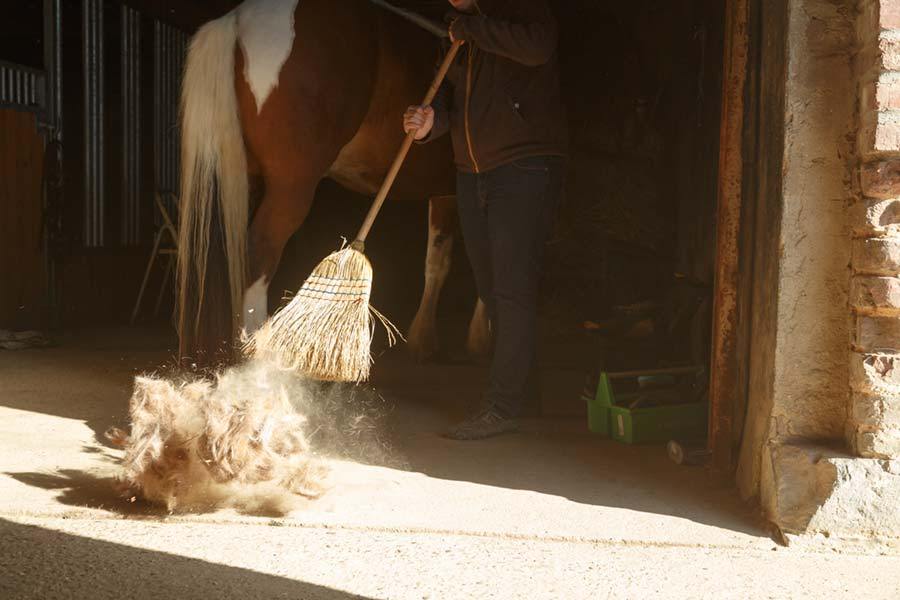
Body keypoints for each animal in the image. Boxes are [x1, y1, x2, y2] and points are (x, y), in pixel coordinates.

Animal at [174, 0, 486, 366]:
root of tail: (237, 21)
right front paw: (480, 337)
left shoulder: (448, 193)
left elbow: (438, 261)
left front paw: (424, 340)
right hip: (291, 188)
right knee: (259, 252)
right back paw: (254, 349)